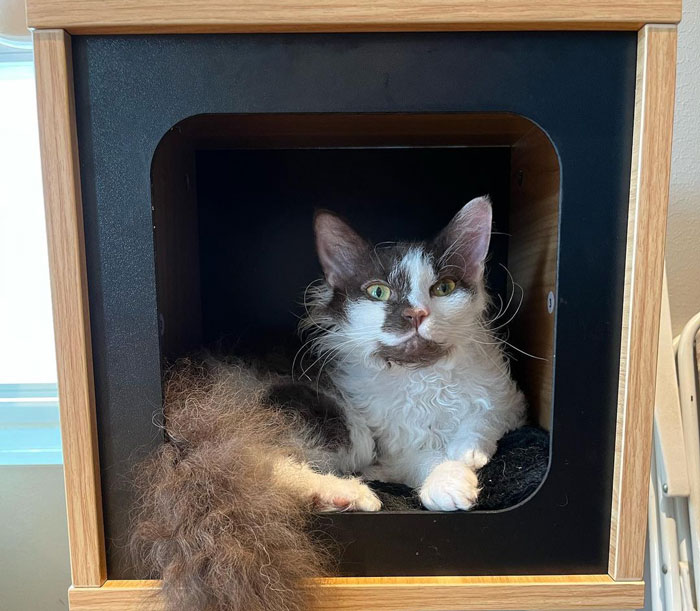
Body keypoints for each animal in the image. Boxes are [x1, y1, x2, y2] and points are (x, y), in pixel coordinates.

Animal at [130, 197, 524, 611]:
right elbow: (424, 455)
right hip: (317, 421)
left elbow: (482, 419)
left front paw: (468, 452)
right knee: (260, 467)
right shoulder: (386, 443)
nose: (416, 314)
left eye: (443, 288)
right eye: (379, 292)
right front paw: (450, 480)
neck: (421, 377)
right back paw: (348, 493)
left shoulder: (508, 403)